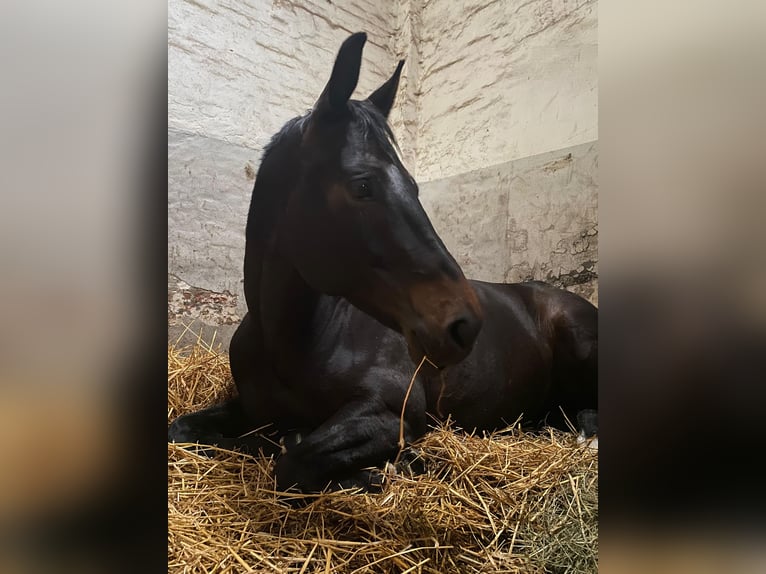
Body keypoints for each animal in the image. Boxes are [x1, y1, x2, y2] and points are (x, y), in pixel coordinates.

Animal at [168, 32, 598, 493]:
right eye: (362, 185)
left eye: (413, 186)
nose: (465, 324)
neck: (290, 339)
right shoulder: (247, 408)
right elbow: (185, 431)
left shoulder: (392, 411)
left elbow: (294, 462)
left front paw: (390, 467)